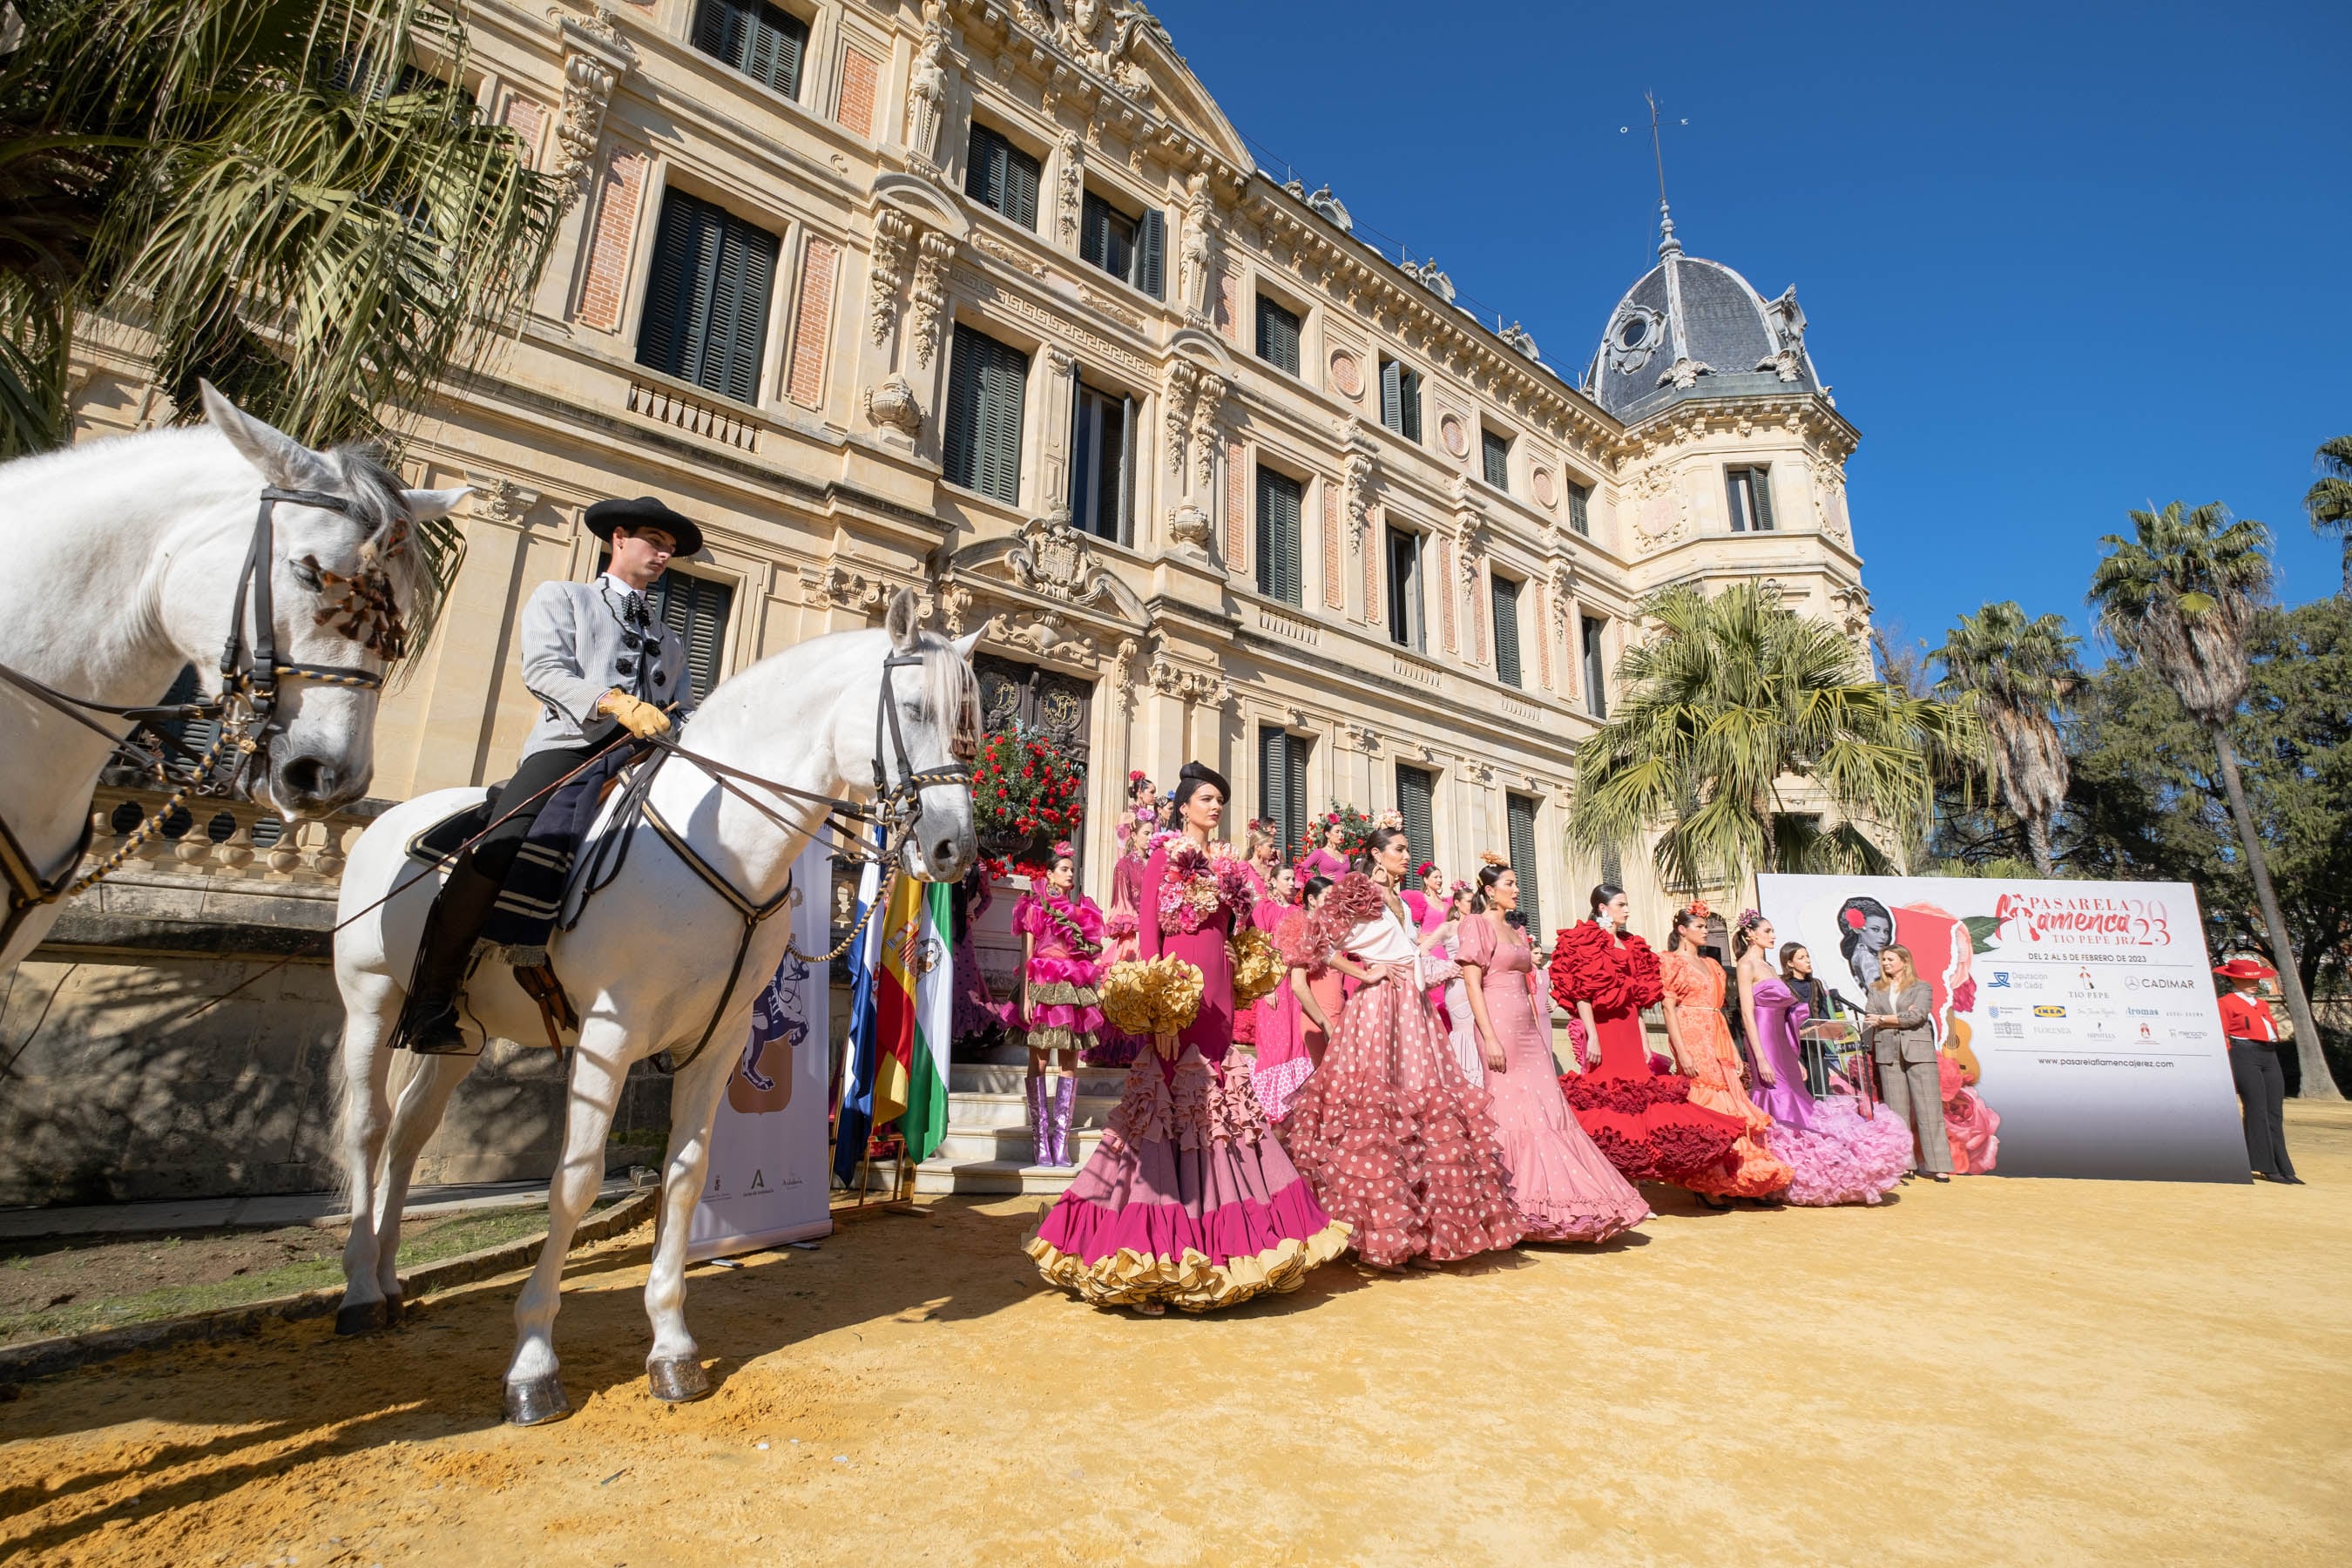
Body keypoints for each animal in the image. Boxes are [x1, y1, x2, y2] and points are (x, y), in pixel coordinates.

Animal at [331, 587, 973, 1419]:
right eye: (918, 708)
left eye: (972, 720)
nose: (957, 848)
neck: (721, 843)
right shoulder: (608, 1037)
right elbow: (574, 1183)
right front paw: (532, 1362)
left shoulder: (719, 1041)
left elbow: (686, 1178)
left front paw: (671, 1348)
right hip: (371, 999)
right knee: (369, 1131)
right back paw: (356, 1291)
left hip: (460, 1033)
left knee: (410, 1134)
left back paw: (386, 1281)